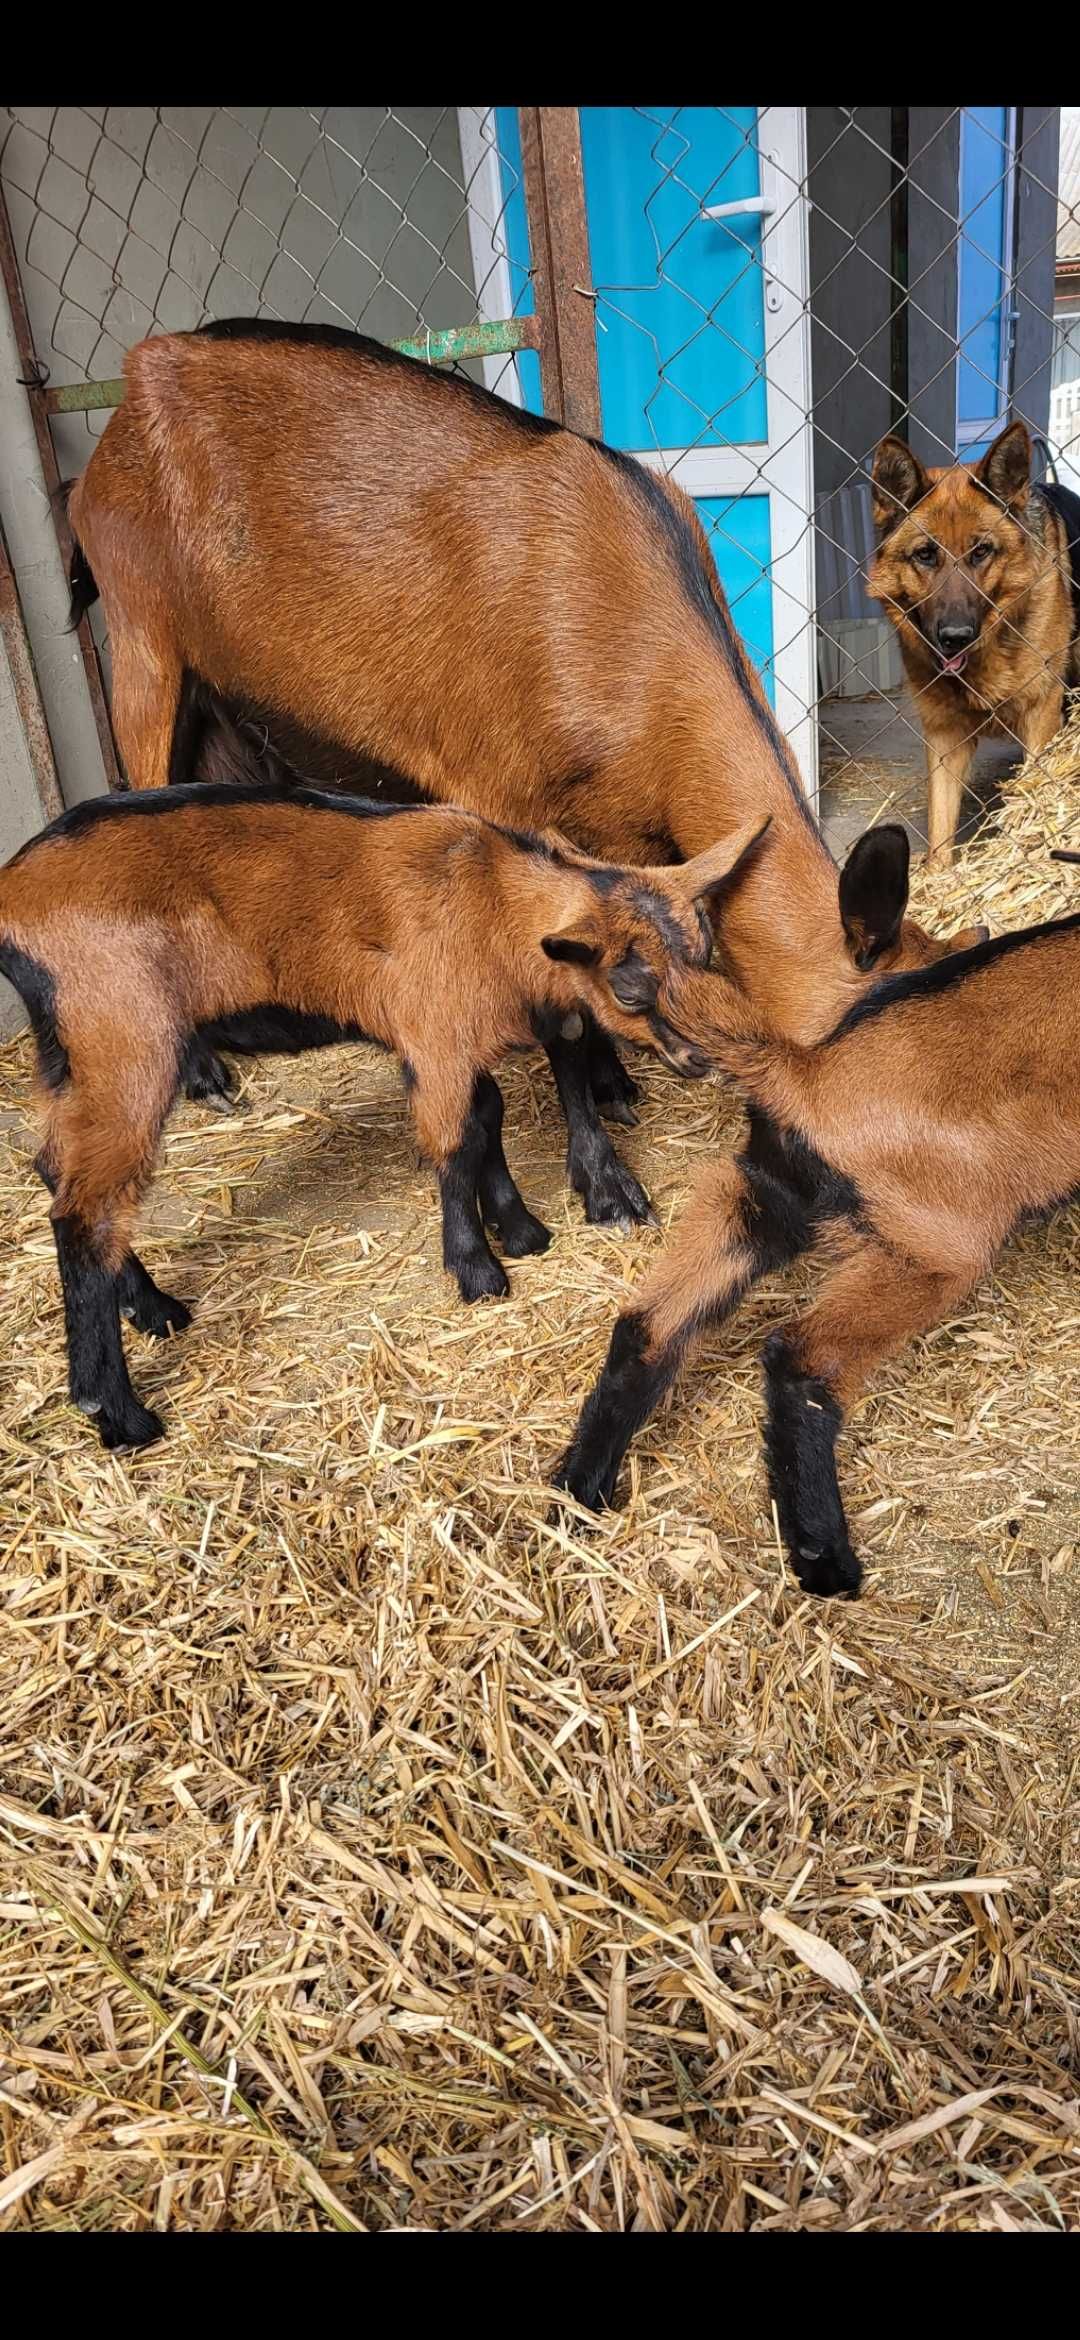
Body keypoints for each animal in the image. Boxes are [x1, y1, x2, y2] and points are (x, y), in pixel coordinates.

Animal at [0, 781, 762, 1441]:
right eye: (630, 989)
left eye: (706, 953)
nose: (704, 1059)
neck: (487, 900)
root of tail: (13, 898)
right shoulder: (432, 1035)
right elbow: (456, 1139)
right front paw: (478, 1270)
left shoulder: (456, 1039)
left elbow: (487, 1118)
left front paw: (518, 1228)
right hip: (125, 1036)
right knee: (85, 1210)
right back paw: (119, 1413)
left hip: (71, 1053)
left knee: (55, 1167)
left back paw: (151, 1309)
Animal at [65, 325, 986, 1226]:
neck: (630, 643)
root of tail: (124, 403)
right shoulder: (500, 794)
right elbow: (557, 1013)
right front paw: (606, 1184)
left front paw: (618, 1083)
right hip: (143, 639)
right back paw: (201, 1071)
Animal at [556, 833, 1080, 1600]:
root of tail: (805, 1073)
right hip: (936, 1248)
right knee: (799, 1360)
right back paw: (825, 1562)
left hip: (757, 1198)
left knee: (648, 1326)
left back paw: (575, 1493)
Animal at [869, 421, 1080, 861]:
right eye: (925, 555)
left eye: (981, 551)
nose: (955, 637)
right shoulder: (944, 736)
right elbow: (940, 832)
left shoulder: (1040, 718)